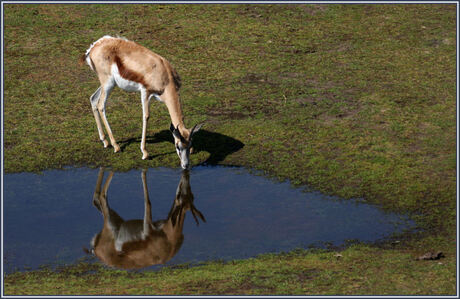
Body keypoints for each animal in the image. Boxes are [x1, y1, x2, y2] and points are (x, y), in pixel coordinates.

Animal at [80, 35, 202, 169]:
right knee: (101, 105)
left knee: (93, 99)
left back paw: (105, 141)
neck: (165, 76)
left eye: (189, 145)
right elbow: (146, 116)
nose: (185, 165)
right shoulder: (145, 92)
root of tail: (93, 47)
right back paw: (116, 146)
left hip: (108, 84)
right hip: (108, 83)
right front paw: (145, 153)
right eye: (177, 146)